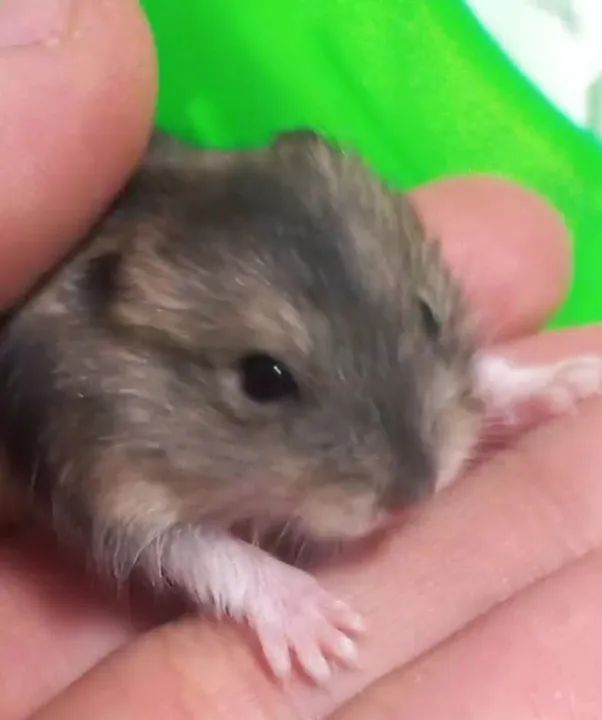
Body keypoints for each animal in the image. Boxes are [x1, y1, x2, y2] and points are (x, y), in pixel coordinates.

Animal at [0, 130, 601, 684]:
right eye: (263, 379)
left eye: (429, 316)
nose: (416, 498)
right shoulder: (104, 488)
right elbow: (205, 549)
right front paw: (329, 637)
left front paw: (575, 383)